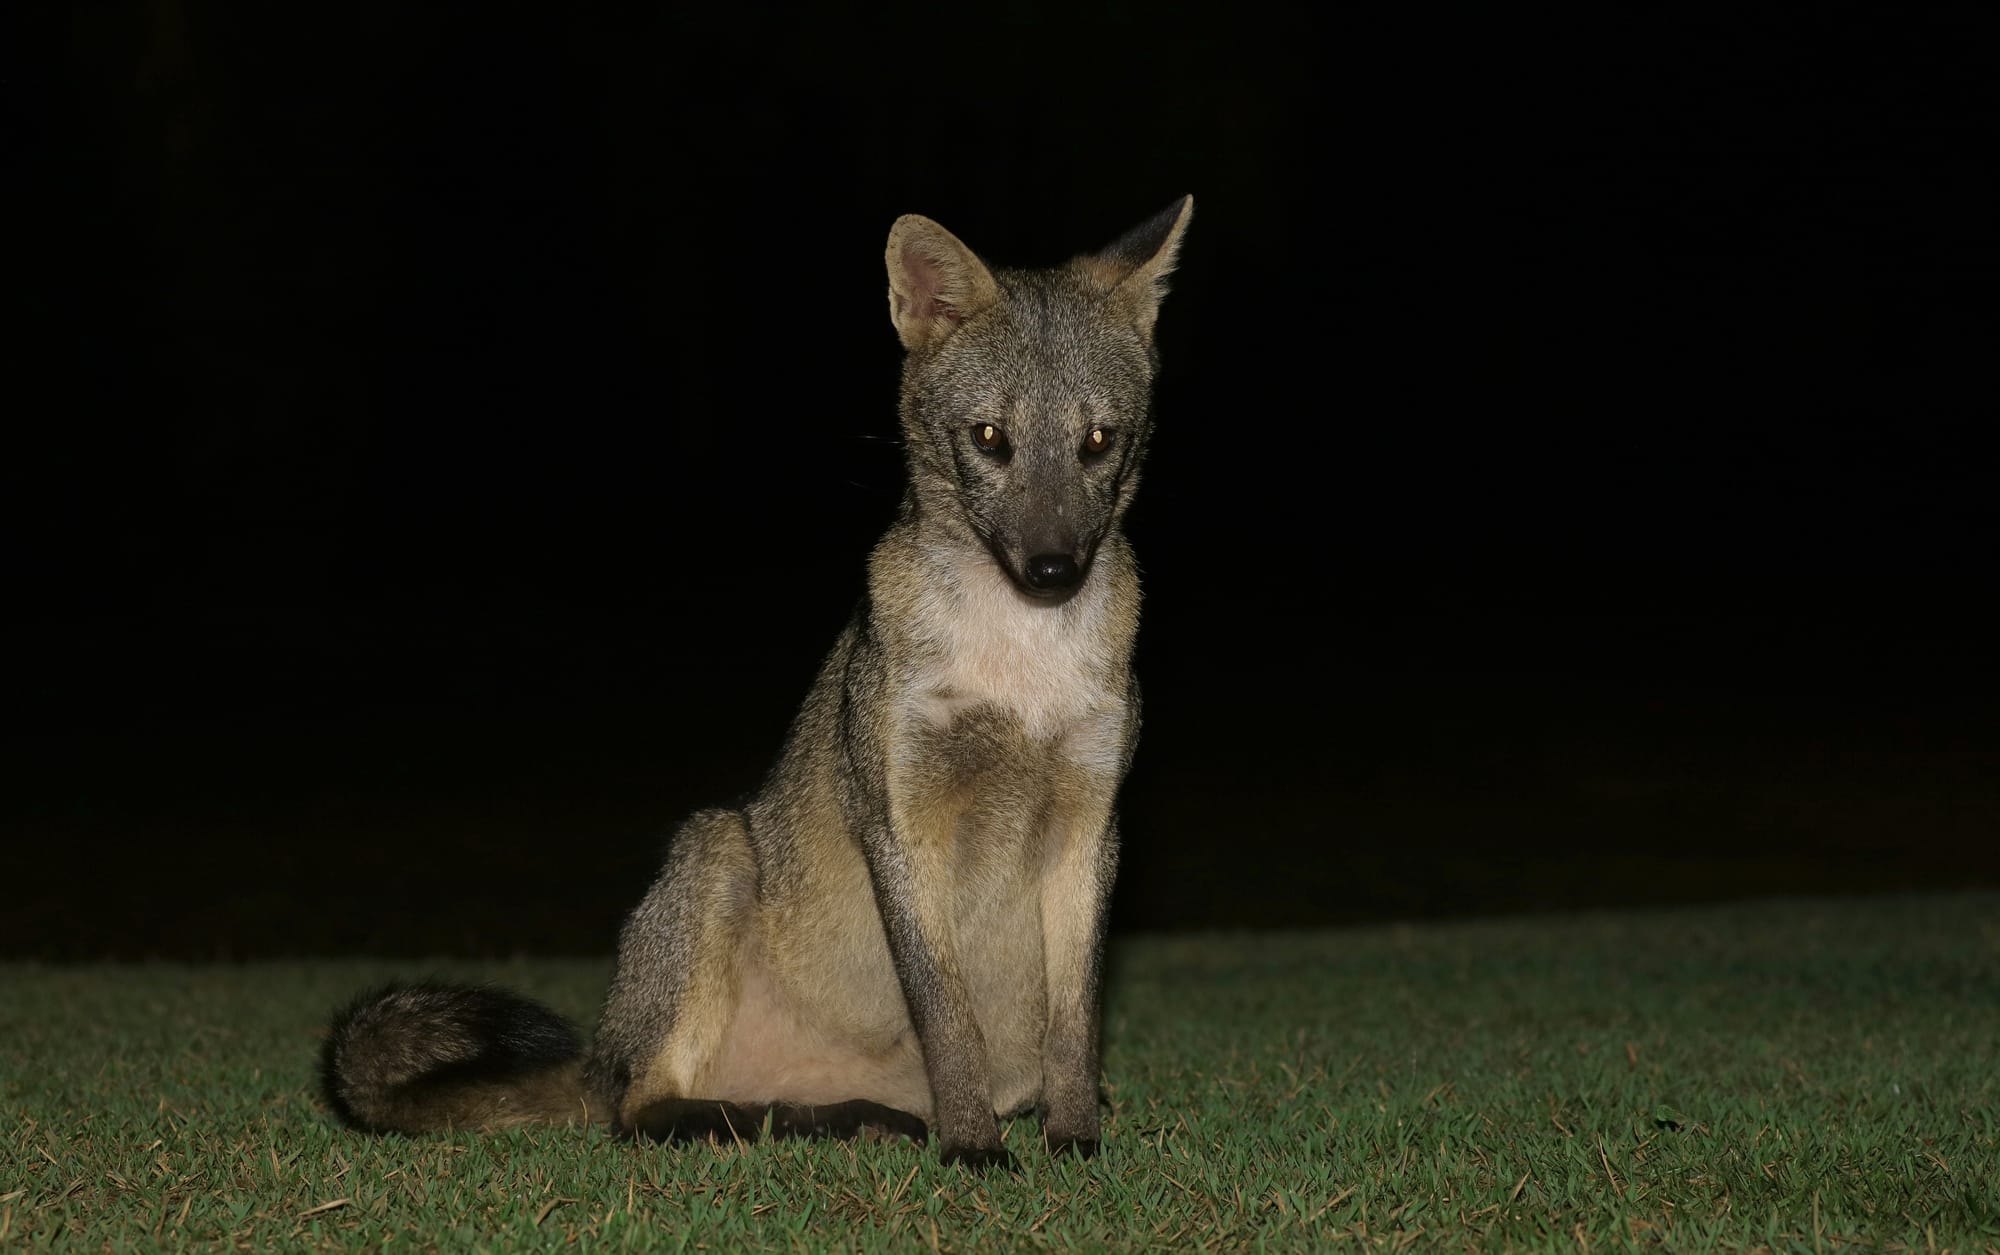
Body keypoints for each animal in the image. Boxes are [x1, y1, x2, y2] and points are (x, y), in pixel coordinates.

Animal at [319, 196, 1193, 1167]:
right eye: (990, 439)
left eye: (1097, 441)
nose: (1051, 571)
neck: (1017, 669)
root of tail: (605, 1056)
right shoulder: (899, 816)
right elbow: (947, 1018)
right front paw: (972, 1147)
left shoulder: (1090, 819)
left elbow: (1076, 1023)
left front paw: (1073, 1140)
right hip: (712, 852)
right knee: (641, 1112)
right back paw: (750, 1123)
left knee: (770, 1109)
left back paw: (847, 1120)